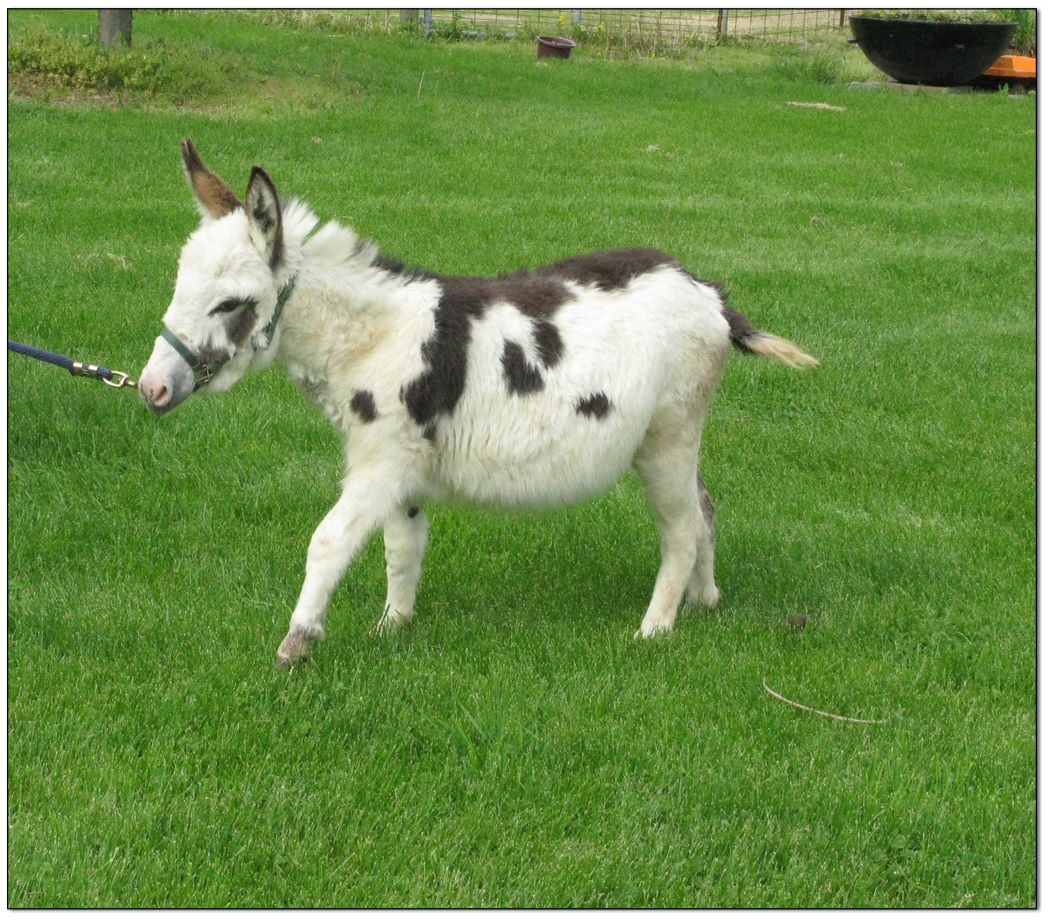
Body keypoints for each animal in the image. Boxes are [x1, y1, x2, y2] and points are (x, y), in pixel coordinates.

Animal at [138, 141, 817, 666]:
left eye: (230, 303)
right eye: (178, 286)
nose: (150, 389)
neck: (371, 338)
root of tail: (708, 292)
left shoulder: (379, 463)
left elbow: (327, 543)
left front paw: (296, 645)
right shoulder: (402, 469)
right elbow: (401, 549)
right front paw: (392, 628)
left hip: (668, 434)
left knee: (679, 528)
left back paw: (654, 629)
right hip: (678, 435)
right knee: (703, 509)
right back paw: (705, 600)